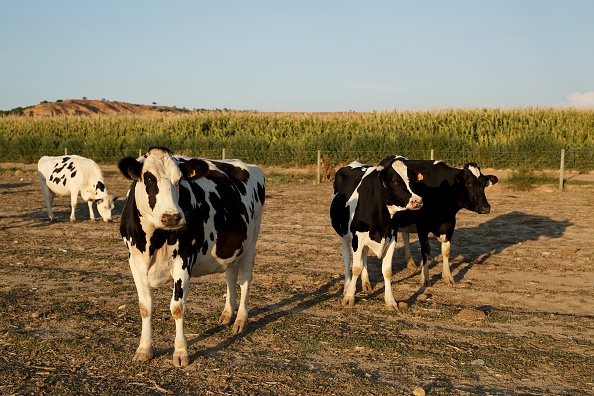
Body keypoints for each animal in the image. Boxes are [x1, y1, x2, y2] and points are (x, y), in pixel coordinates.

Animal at [117, 148, 264, 368]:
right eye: (148, 178)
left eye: (179, 180)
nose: (172, 217)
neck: (153, 241)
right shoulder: (134, 262)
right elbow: (145, 307)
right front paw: (144, 349)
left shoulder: (183, 261)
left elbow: (177, 308)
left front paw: (180, 352)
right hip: (229, 249)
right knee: (231, 277)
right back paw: (227, 314)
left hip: (251, 242)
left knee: (245, 280)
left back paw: (240, 320)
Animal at [328, 157, 426, 310]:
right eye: (394, 181)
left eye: (413, 180)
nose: (417, 201)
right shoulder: (357, 238)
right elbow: (356, 268)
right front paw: (349, 297)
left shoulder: (391, 238)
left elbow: (387, 271)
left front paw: (390, 301)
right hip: (342, 235)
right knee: (347, 258)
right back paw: (346, 286)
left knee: (364, 256)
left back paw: (366, 283)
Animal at [358, 157, 498, 288]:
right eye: (469, 183)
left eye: (484, 184)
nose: (485, 208)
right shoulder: (422, 227)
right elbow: (425, 250)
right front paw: (425, 278)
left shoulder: (450, 225)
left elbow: (446, 251)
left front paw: (448, 277)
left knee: (406, 236)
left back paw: (410, 262)